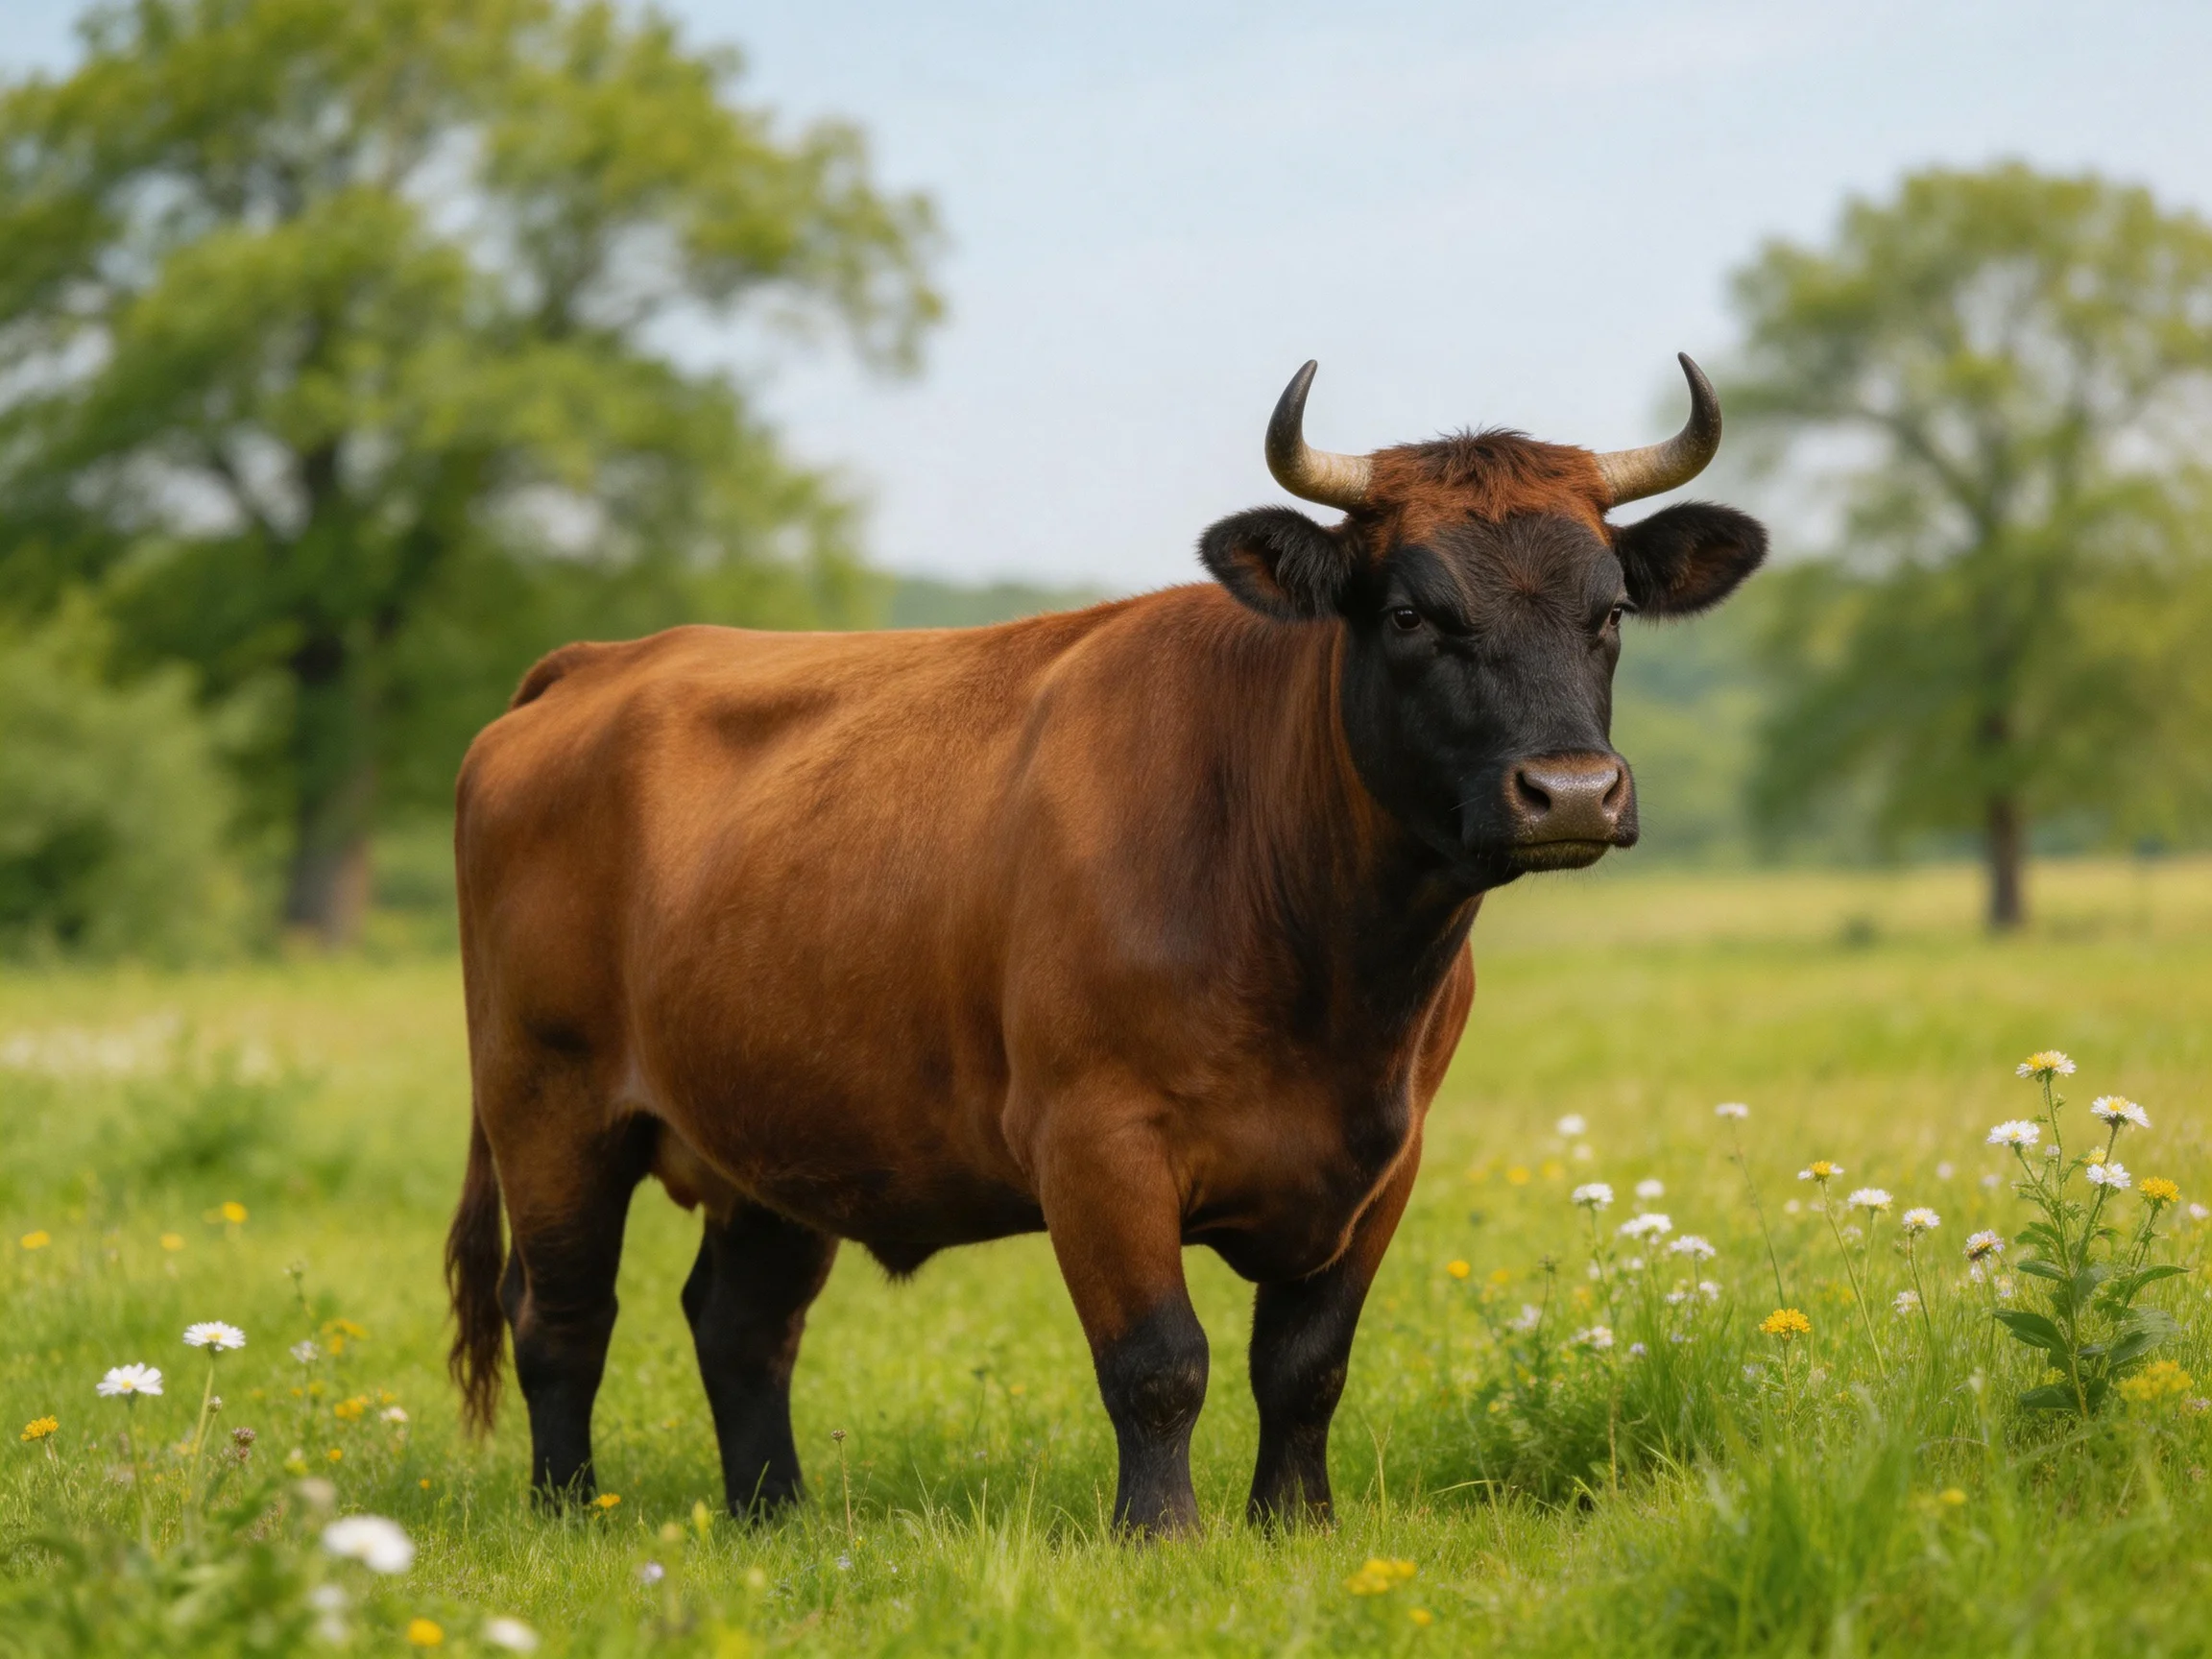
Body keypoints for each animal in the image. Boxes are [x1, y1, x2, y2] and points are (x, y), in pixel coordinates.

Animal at [445, 356, 1765, 1533]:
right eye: (1410, 612)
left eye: (1609, 611)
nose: (1572, 791)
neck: (1330, 971)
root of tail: (605, 662)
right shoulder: (1095, 1138)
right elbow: (1158, 1362)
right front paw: (1162, 1534)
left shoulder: (1387, 1158)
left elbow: (1306, 1368)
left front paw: (1296, 1526)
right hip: (549, 1103)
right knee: (560, 1316)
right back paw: (571, 1515)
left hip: (776, 1122)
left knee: (741, 1325)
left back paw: (777, 1518)